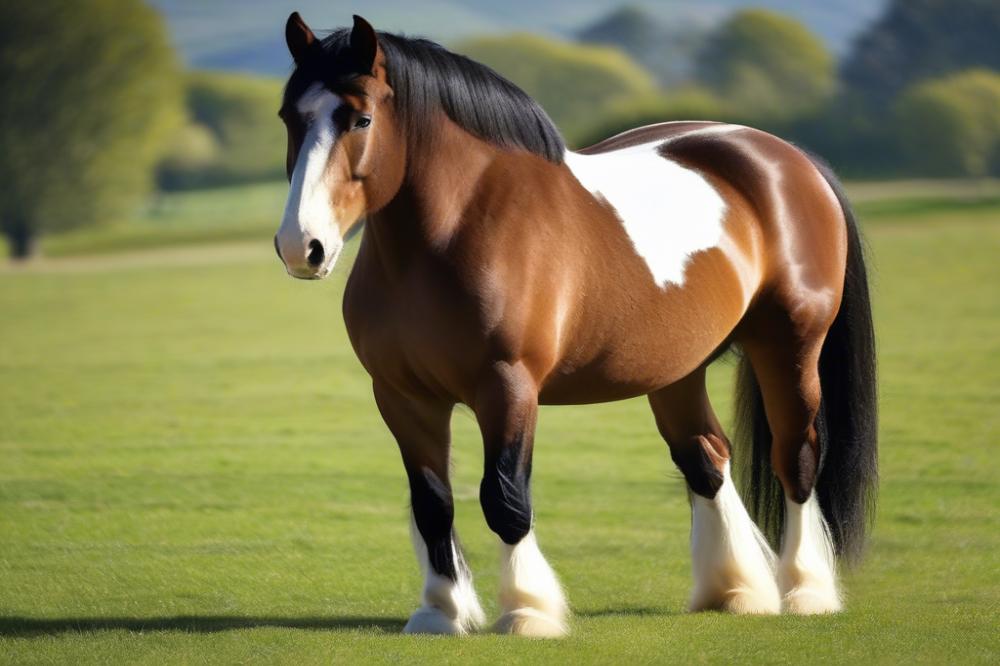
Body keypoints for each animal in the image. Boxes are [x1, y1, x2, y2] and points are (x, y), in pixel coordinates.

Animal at [272, 14, 876, 640]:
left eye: (361, 118)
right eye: (290, 116)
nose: (302, 246)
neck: (455, 229)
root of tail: (789, 159)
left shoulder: (507, 386)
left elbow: (505, 498)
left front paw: (528, 611)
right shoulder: (402, 396)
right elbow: (433, 503)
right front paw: (440, 611)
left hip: (790, 344)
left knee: (796, 457)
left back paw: (806, 591)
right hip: (676, 370)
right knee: (707, 459)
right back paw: (732, 590)